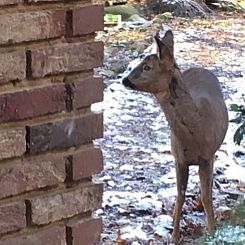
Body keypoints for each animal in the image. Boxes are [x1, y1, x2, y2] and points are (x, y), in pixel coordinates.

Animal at [122, 30, 230, 243]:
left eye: (147, 66)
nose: (125, 80)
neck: (195, 133)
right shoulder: (179, 158)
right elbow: (180, 195)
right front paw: (174, 235)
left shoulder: (207, 156)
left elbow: (206, 195)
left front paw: (212, 231)